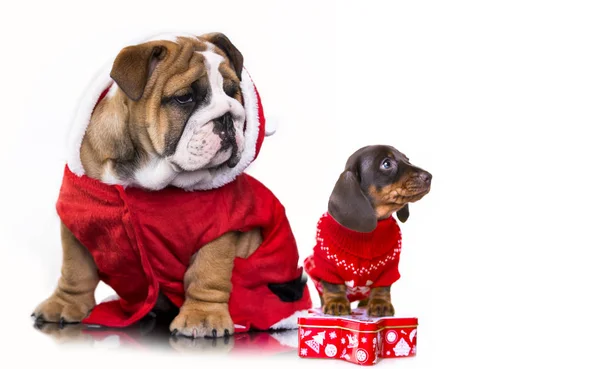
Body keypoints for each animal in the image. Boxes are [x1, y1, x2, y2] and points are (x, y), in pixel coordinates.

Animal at [31, 33, 314, 338]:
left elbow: (208, 272)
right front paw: (64, 304)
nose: (228, 115)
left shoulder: (218, 226)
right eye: (184, 97)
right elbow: (75, 269)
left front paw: (203, 317)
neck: (147, 175)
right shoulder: (79, 216)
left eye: (232, 91)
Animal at [304, 145, 432, 314]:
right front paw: (336, 302)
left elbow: (382, 289)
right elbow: (333, 287)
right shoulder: (327, 266)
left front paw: (380, 304)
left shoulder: (388, 269)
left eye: (407, 159)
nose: (429, 176)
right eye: (386, 163)